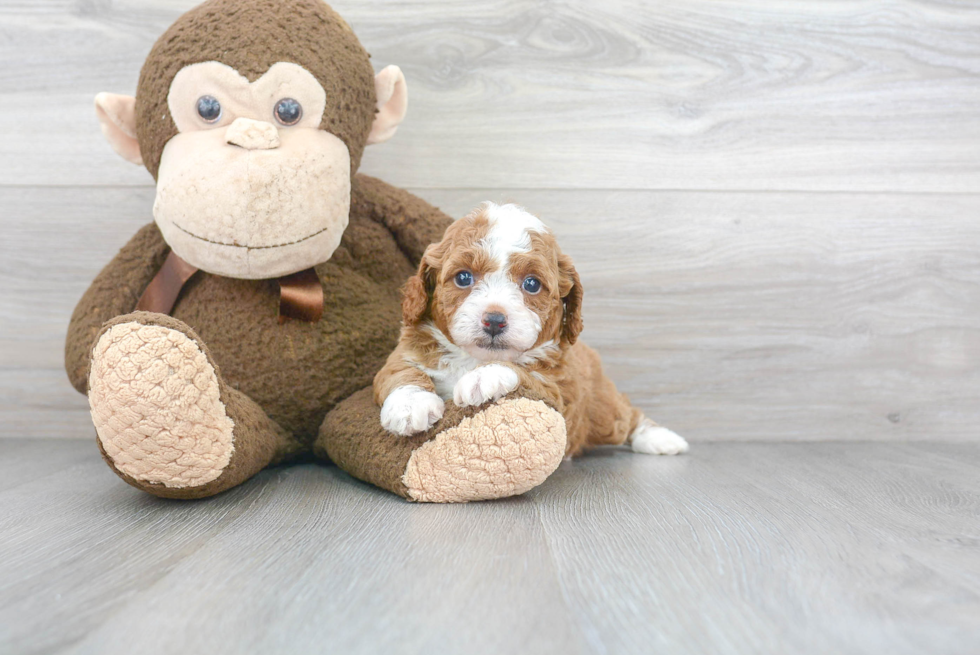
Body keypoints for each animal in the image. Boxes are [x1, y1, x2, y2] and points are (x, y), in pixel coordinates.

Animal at [372, 202, 684, 458]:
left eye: (532, 284)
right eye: (463, 278)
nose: (494, 320)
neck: (473, 358)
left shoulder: (559, 391)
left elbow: (525, 373)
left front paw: (484, 377)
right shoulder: (406, 351)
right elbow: (400, 371)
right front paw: (410, 405)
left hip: (602, 410)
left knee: (627, 416)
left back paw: (660, 438)